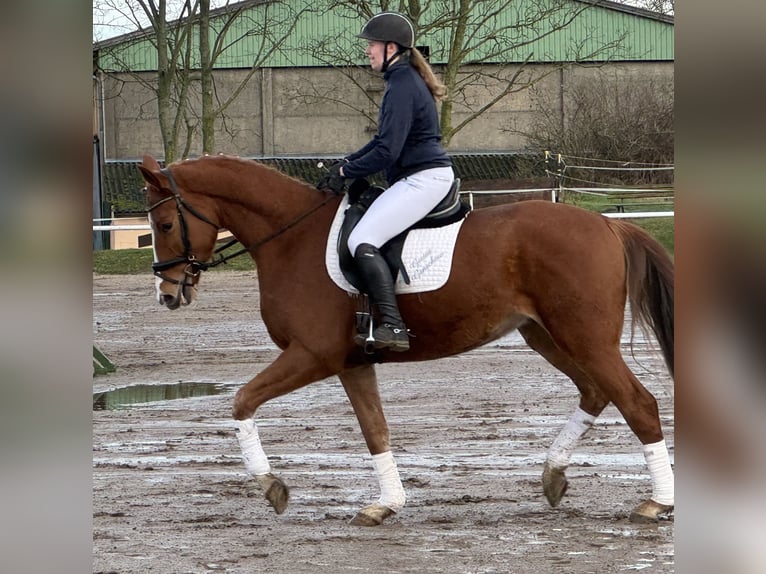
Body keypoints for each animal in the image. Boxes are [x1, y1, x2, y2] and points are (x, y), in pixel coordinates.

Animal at [140, 152, 680, 528]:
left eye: (164, 224)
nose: (167, 294)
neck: (291, 239)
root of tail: (608, 223)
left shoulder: (312, 355)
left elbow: (242, 401)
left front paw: (272, 486)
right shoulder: (352, 362)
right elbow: (375, 431)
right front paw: (385, 505)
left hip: (585, 338)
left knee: (638, 402)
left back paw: (656, 502)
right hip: (546, 336)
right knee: (596, 392)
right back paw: (554, 475)